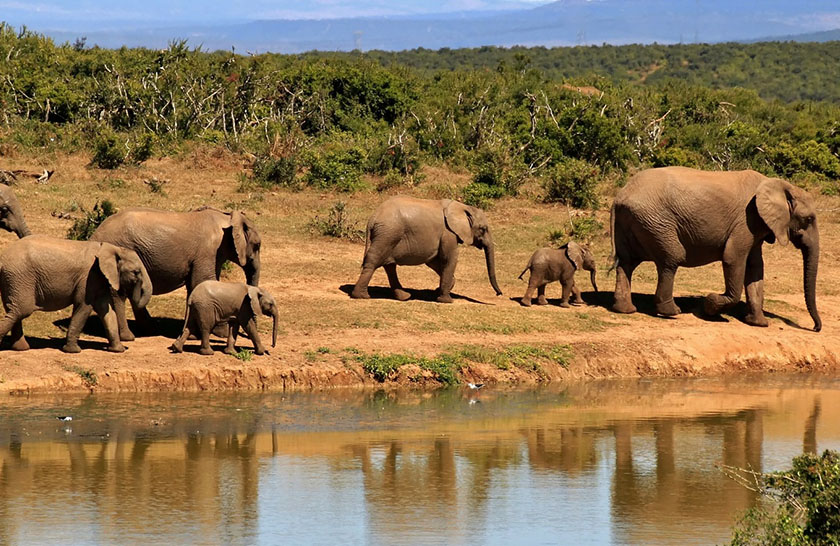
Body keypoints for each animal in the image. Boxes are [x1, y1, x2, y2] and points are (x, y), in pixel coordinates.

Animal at [0, 235, 153, 352]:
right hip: (20, 277)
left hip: (14, 280)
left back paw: (21, 349)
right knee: (21, 310)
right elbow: (84, 307)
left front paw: (117, 350)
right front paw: (73, 351)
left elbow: (106, 310)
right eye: (136, 272)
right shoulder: (88, 278)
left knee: (14, 310)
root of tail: (3, 258)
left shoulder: (98, 279)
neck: (111, 248)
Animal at [90, 205, 260, 338]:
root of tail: (94, 235)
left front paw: (193, 335)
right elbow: (202, 281)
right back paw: (128, 336)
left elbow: (195, 286)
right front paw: (221, 334)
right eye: (257, 245)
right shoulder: (208, 251)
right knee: (118, 294)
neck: (227, 217)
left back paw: (151, 330)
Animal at [352, 197, 502, 302]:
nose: (499, 294)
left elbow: (433, 261)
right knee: (374, 261)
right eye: (483, 229)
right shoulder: (448, 233)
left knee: (389, 265)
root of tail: (372, 218)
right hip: (388, 233)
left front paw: (440, 290)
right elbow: (449, 258)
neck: (462, 207)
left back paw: (404, 297)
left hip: (388, 235)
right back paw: (362, 296)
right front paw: (446, 300)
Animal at [612, 166, 820, 330]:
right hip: (656, 222)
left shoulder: (756, 226)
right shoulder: (746, 220)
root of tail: (620, 196)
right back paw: (672, 311)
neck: (780, 185)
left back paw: (625, 310)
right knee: (672, 258)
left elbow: (755, 268)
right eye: (809, 219)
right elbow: (733, 258)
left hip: (635, 222)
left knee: (627, 262)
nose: (815, 328)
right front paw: (709, 305)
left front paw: (758, 323)